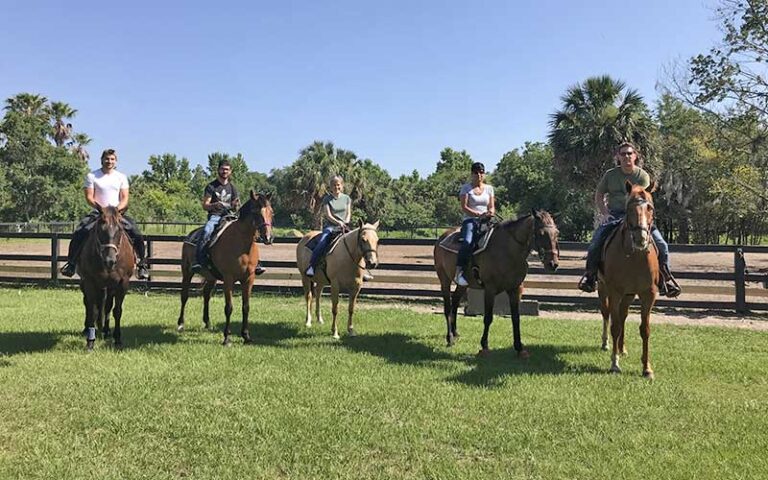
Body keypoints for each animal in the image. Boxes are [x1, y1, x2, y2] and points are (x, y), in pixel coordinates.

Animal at [77, 204, 136, 350]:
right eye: (100, 230)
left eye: (119, 230)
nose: (110, 260)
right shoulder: (90, 282)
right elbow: (92, 309)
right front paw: (90, 341)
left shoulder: (122, 284)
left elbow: (117, 310)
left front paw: (117, 339)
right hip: (86, 283)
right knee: (88, 304)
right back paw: (89, 329)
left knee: (106, 305)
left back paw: (105, 330)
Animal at [178, 191, 274, 344]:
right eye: (256, 212)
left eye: (271, 212)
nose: (268, 238)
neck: (242, 245)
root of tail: (190, 235)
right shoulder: (229, 279)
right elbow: (229, 307)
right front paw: (227, 338)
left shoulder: (249, 279)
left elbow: (246, 307)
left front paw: (246, 336)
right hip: (187, 272)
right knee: (184, 296)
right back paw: (181, 324)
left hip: (211, 277)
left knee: (206, 294)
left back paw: (207, 323)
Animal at [432, 210, 560, 356]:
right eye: (541, 233)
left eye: (557, 233)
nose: (553, 264)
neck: (508, 251)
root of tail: (442, 237)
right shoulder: (490, 289)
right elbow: (488, 317)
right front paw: (484, 346)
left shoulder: (516, 289)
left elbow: (516, 318)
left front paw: (519, 348)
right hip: (444, 279)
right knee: (447, 307)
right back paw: (450, 338)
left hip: (463, 285)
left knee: (455, 302)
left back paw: (455, 333)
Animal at [600, 181, 660, 378]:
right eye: (629, 209)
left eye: (650, 208)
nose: (641, 238)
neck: (635, 257)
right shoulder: (615, 292)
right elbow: (615, 327)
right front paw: (614, 364)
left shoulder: (648, 294)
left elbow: (645, 329)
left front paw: (647, 368)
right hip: (603, 289)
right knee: (607, 314)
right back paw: (606, 344)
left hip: (629, 295)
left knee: (623, 315)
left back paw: (622, 348)